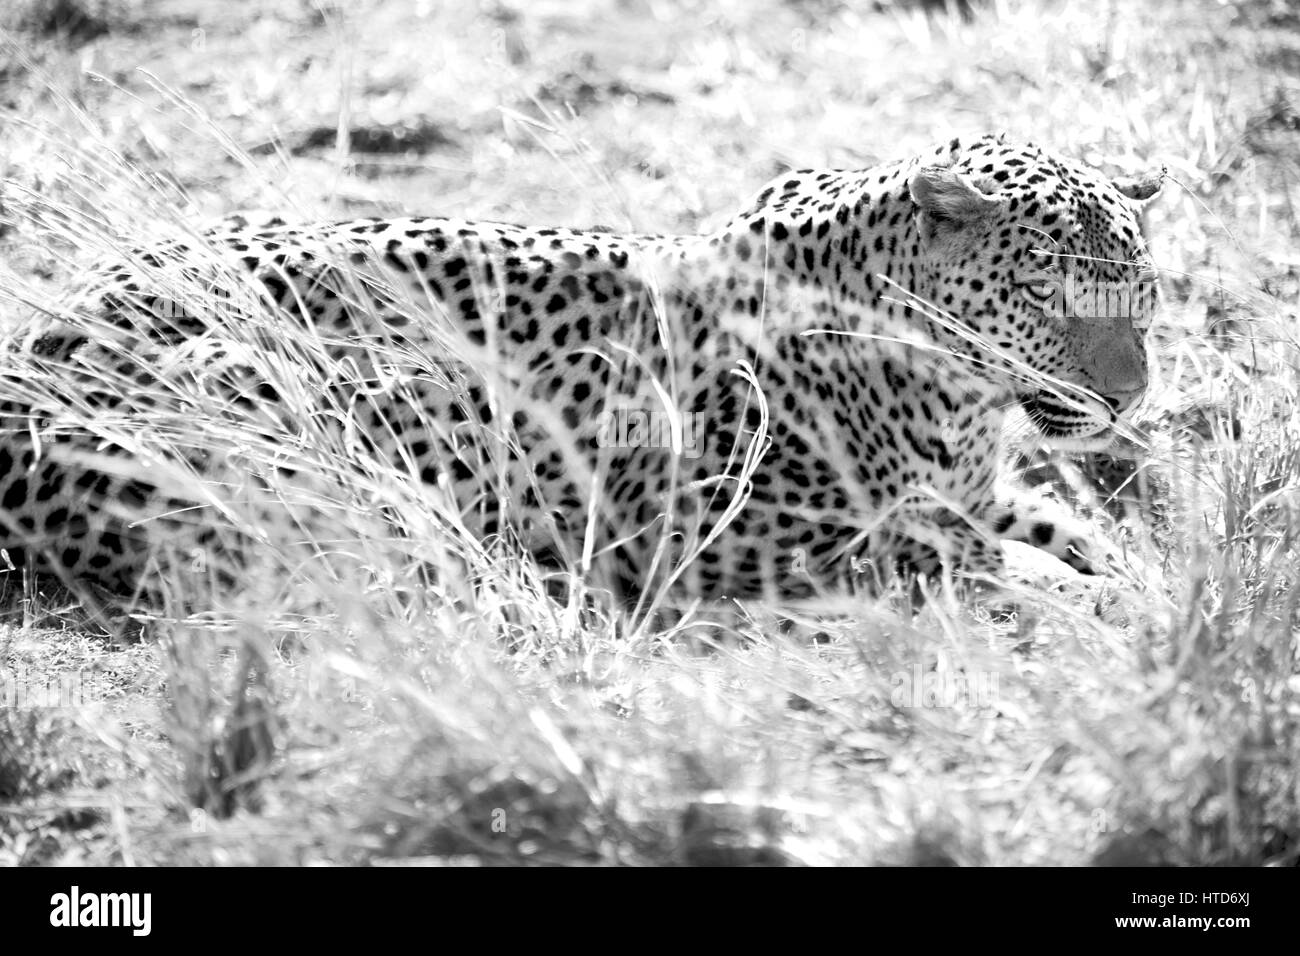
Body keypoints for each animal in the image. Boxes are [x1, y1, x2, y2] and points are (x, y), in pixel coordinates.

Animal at [0, 132, 1164, 606]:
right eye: (1046, 289)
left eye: (1138, 290)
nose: (1125, 395)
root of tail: (29, 357)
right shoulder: (736, 532)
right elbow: (970, 561)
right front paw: (1094, 601)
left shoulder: (980, 491)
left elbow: (1068, 532)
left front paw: (1139, 580)